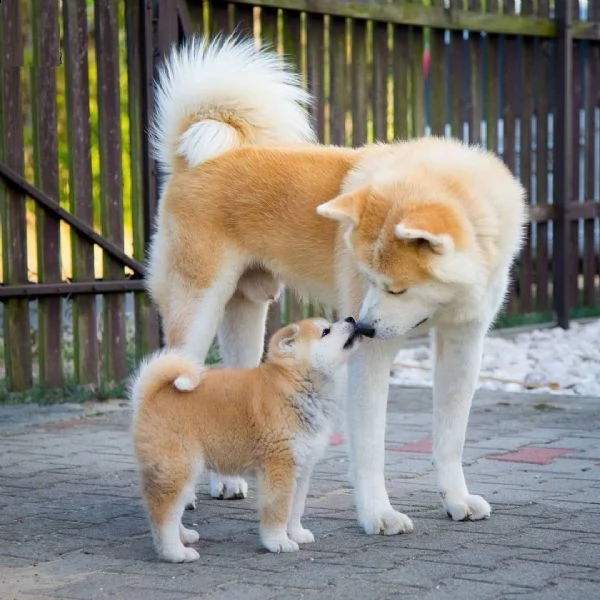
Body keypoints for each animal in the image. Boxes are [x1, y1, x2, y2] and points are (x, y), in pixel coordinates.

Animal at [129, 318, 368, 564]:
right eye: (325, 331)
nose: (351, 319)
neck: (296, 386)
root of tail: (150, 396)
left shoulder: (301, 470)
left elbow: (296, 509)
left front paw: (297, 534)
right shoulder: (279, 467)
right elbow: (279, 511)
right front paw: (278, 542)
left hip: (183, 471)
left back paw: (184, 536)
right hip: (178, 467)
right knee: (163, 514)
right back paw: (175, 552)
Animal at [146, 36, 524, 536]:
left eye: (396, 289)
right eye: (367, 278)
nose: (361, 327)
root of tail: (196, 158)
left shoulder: (463, 346)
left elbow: (449, 440)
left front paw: (456, 500)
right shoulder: (371, 361)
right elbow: (370, 449)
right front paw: (378, 513)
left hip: (246, 313)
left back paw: (226, 481)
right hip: (198, 312)